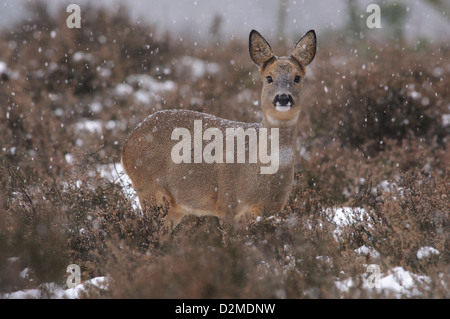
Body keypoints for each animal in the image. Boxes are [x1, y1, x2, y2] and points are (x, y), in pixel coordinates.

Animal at [120, 29, 316, 230]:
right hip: (148, 188)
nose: (283, 98)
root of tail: (127, 144)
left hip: (175, 205)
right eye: (269, 78)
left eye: (297, 77)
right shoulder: (228, 202)